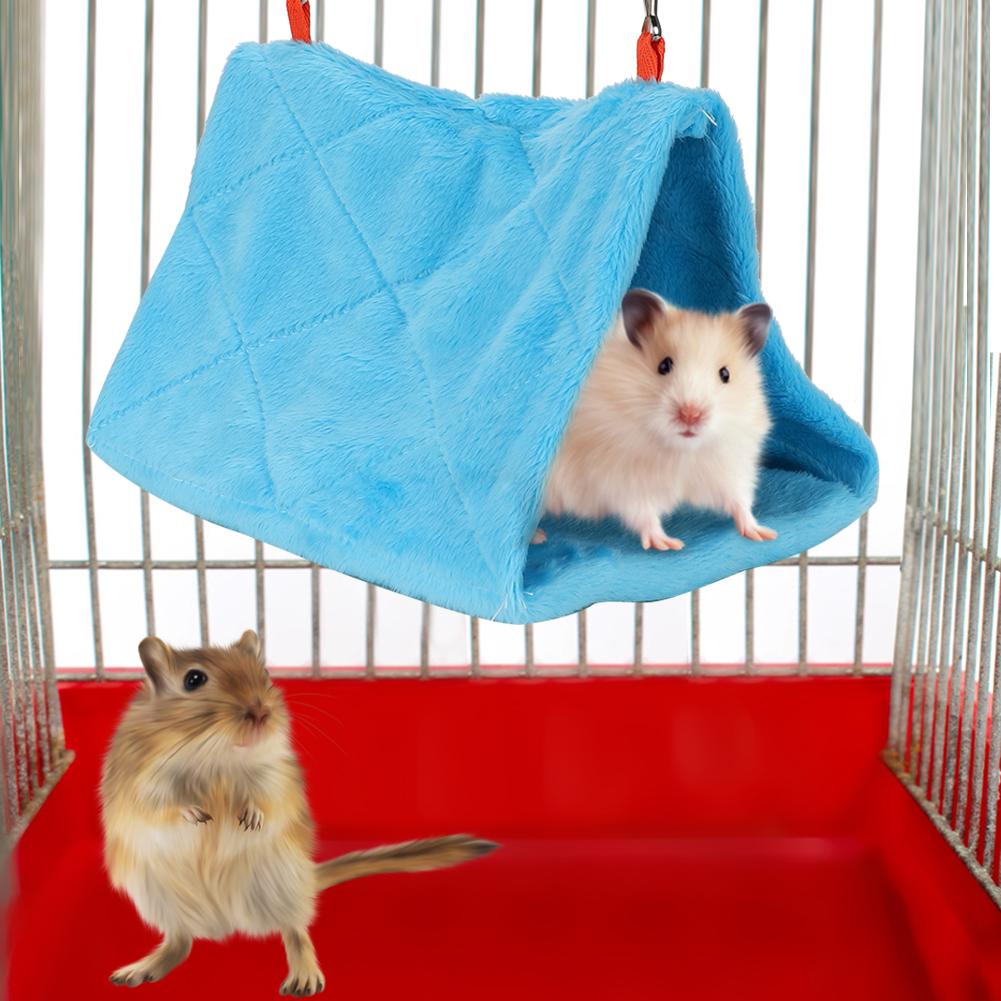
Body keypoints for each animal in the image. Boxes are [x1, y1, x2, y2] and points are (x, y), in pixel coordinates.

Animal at [101, 630, 496, 996]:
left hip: (278, 883)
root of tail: (225, 922)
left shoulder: (275, 774)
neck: (216, 757)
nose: (261, 712)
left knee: (295, 930)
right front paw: (198, 816)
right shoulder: (142, 782)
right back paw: (137, 971)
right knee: (180, 941)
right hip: (160, 898)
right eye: (194, 679)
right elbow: (162, 805)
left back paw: (303, 979)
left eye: (264, 672)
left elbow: (266, 800)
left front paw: (250, 820)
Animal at [537, 289, 777, 551]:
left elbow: (739, 500)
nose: (690, 414)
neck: (681, 450)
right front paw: (669, 545)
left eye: (725, 374)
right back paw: (538, 536)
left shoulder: (730, 466)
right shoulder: (622, 479)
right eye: (664, 365)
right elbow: (643, 512)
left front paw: (763, 533)